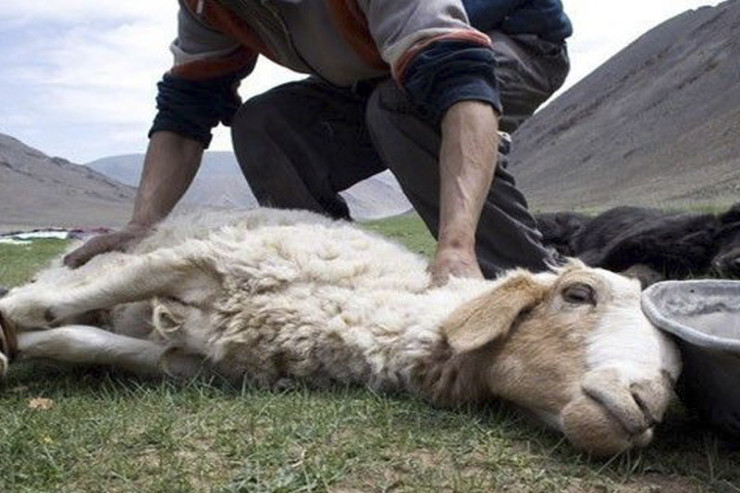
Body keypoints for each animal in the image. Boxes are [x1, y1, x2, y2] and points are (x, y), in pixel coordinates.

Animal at [0, 207, 684, 454]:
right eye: (578, 293)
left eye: (675, 374)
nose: (648, 404)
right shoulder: (206, 260)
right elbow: (65, 303)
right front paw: (13, 322)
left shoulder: (202, 361)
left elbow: (85, 340)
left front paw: (29, 344)